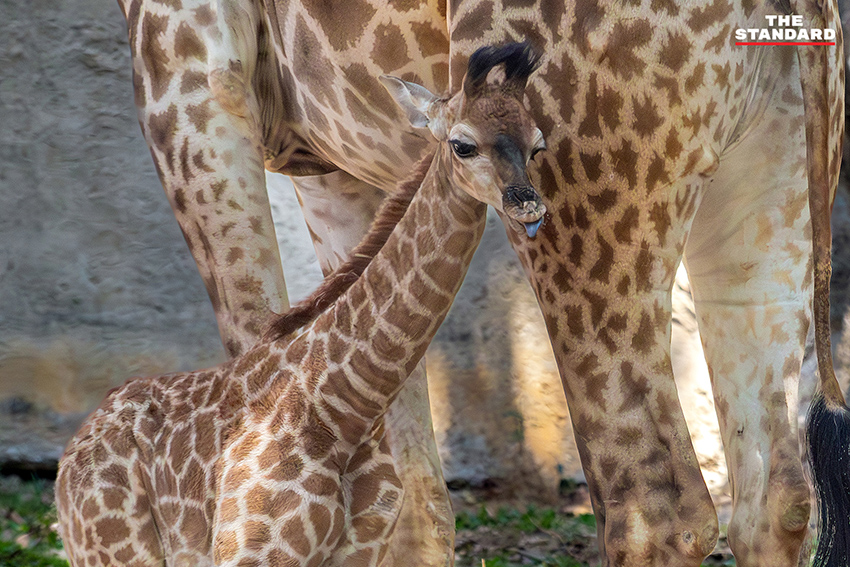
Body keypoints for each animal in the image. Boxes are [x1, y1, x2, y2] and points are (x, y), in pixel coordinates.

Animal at [54, 41, 544, 567]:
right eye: (462, 144)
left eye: (538, 145)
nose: (529, 206)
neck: (347, 405)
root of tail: (73, 450)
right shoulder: (250, 551)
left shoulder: (360, 551)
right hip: (116, 551)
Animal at [116, 1, 844, 567]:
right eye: (464, 146)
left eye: (533, 145)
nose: (526, 199)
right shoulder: (334, 162)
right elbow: (406, 495)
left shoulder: (186, 68)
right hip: (774, 178)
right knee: (777, 497)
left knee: (653, 508)